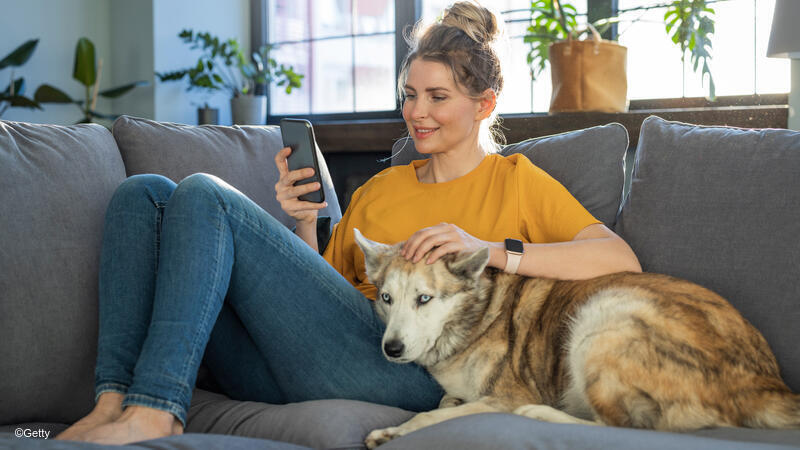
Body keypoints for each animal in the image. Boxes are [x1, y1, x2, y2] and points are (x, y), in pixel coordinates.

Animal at [354, 230, 800, 448]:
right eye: (386, 298)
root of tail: (765, 383)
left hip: (601, 321)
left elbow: (434, 416)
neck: (474, 314)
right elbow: (447, 403)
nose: (391, 349)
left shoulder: (505, 396)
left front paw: (394, 431)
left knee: (623, 428)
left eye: (424, 299)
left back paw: (541, 415)